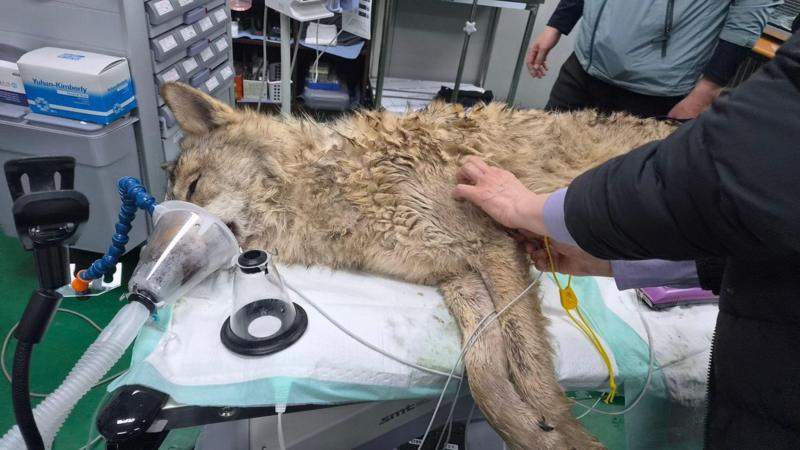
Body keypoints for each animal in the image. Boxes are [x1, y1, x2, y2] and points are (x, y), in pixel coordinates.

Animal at [160, 82, 675, 449]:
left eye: (194, 187)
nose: (153, 276)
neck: (334, 184)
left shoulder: (493, 246)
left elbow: (528, 366)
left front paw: (567, 434)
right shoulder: (458, 277)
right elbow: (486, 376)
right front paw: (535, 432)